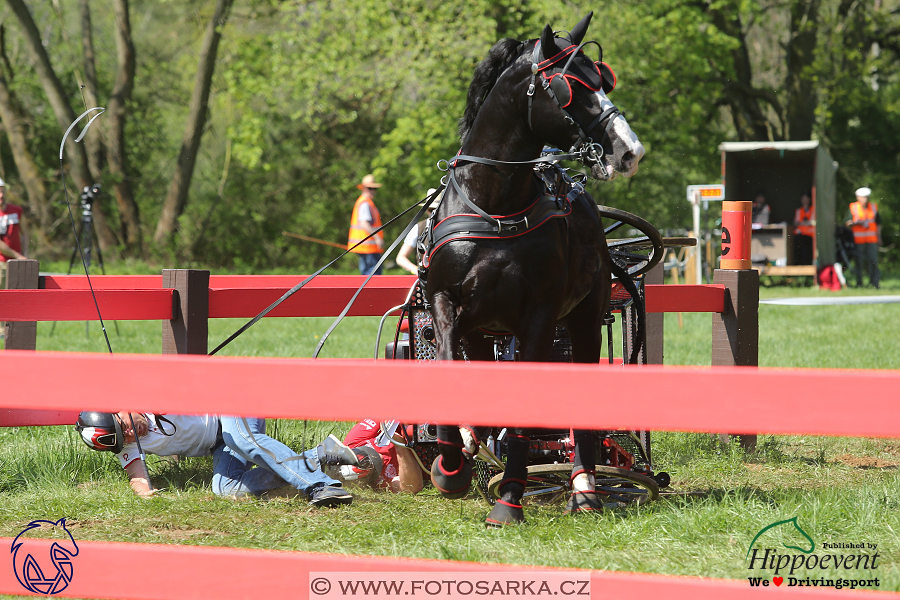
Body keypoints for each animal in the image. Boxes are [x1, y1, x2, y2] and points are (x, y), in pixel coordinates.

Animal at [424, 11, 644, 524]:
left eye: (603, 80)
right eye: (571, 87)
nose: (630, 150)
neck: (493, 206)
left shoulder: (540, 318)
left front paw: (509, 498)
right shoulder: (448, 303)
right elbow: (448, 366)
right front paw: (451, 464)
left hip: (583, 320)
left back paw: (584, 486)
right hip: (484, 329)